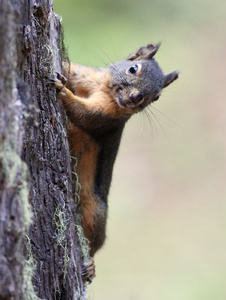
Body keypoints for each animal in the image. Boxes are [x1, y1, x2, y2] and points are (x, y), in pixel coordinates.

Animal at [53, 43, 179, 282]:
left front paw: (62, 91)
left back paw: (90, 266)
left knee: (94, 243)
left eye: (156, 97)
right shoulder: (87, 76)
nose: (136, 98)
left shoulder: (107, 115)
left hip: (95, 210)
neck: (105, 89)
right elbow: (72, 70)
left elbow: (84, 114)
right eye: (133, 68)